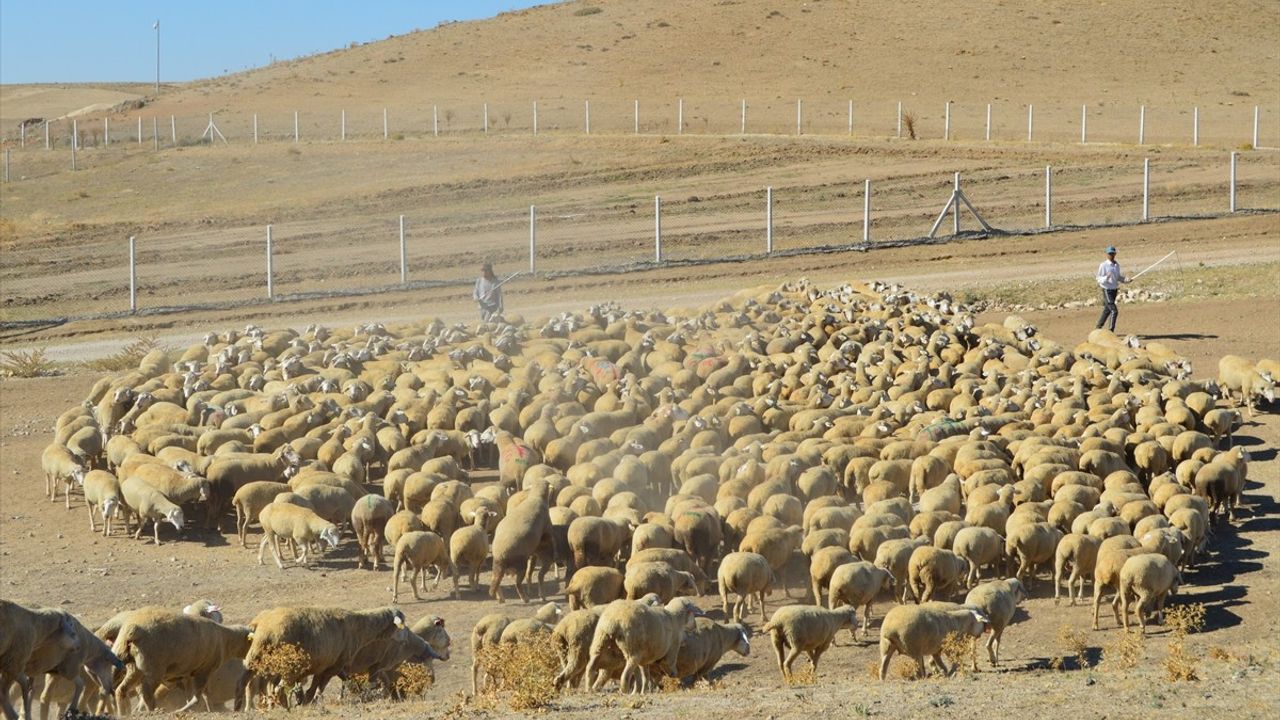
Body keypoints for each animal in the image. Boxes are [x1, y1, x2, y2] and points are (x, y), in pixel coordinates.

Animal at [111, 604, 250, 712]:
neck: (225, 639)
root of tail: (133, 629)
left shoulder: (188, 674)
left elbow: (200, 695)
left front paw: (206, 710)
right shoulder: (204, 671)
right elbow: (198, 696)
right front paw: (184, 710)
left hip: (130, 664)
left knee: (120, 690)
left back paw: (124, 713)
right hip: (152, 669)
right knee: (145, 692)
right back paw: (154, 711)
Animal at [236, 604, 404, 707]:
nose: (403, 640)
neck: (359, 627)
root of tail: (264, 629)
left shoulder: (325, 664)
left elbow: (319, 683)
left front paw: (305, 700)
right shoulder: (335, 665)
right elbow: (321, 685)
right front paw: (310, 700)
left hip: (254, 657)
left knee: (242, 682)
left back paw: (239, 707)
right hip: (289, 666)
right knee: (278, 689)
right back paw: (284, 707)